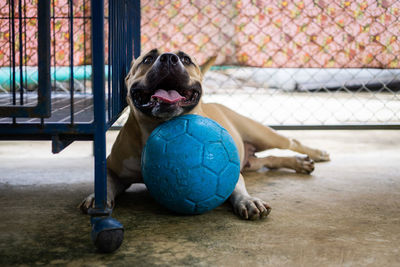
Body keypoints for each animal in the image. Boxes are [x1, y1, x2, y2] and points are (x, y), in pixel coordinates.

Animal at [79, 49, 330, 221]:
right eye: (148, 59)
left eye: (186, 59)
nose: (169, 58)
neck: (155, 127)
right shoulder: (113, 168)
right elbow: (106, 182)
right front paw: (97, 198)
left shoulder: (231, 171)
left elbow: (237, 188)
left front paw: (248, 201)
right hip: (251, 162)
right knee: (270, 160)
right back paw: (299, 163)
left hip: (262, 135)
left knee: (291, 141)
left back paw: (316, 154)